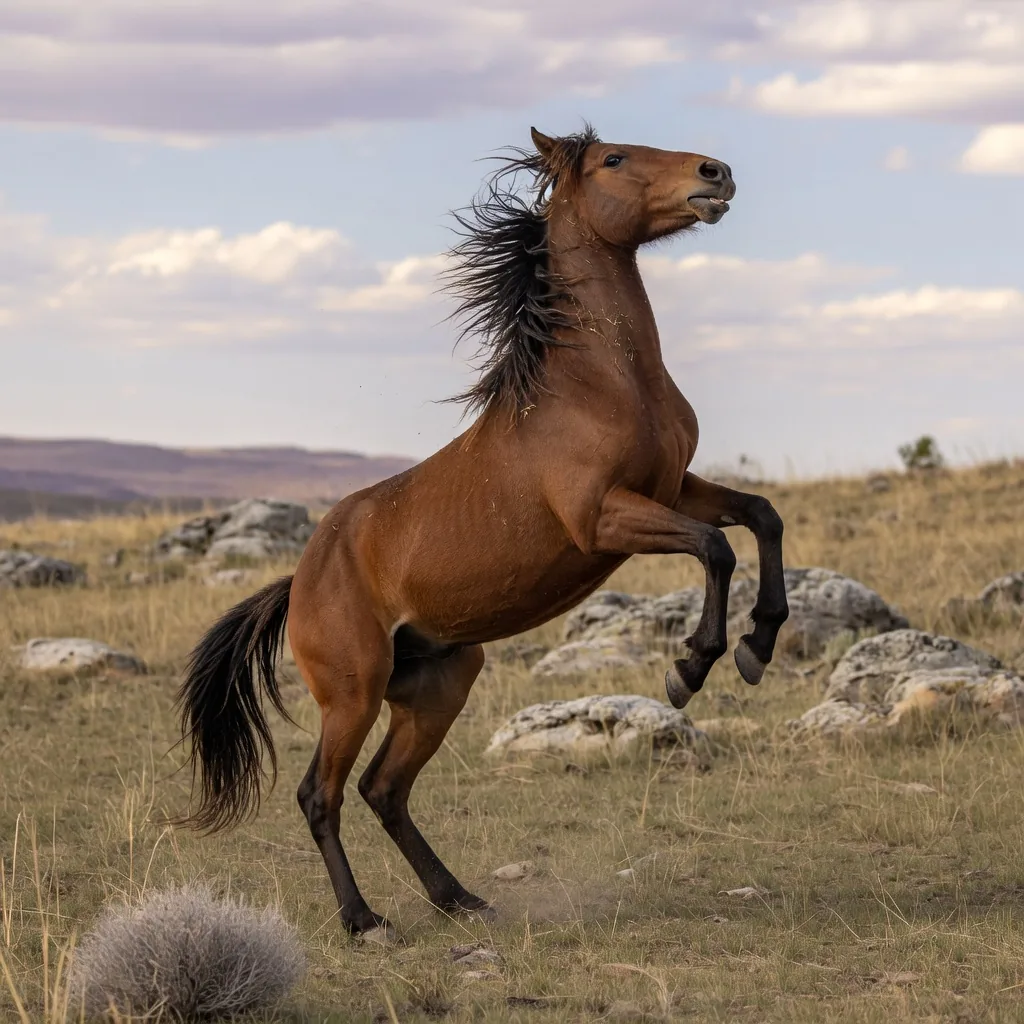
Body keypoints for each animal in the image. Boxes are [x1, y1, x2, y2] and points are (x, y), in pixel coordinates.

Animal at [176, 125, 789, 937]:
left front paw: (759, 643)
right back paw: (364, 921)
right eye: (614, 159)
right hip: (352, 696)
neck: (600, 382)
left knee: (384, 790)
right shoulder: (602, 517)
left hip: (438, 687)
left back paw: (458, 897)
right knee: (321, 795)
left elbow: (760, 516)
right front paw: (690, 667)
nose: (715, 175)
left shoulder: (675, 487)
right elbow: (715, 548)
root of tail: (298, 580)